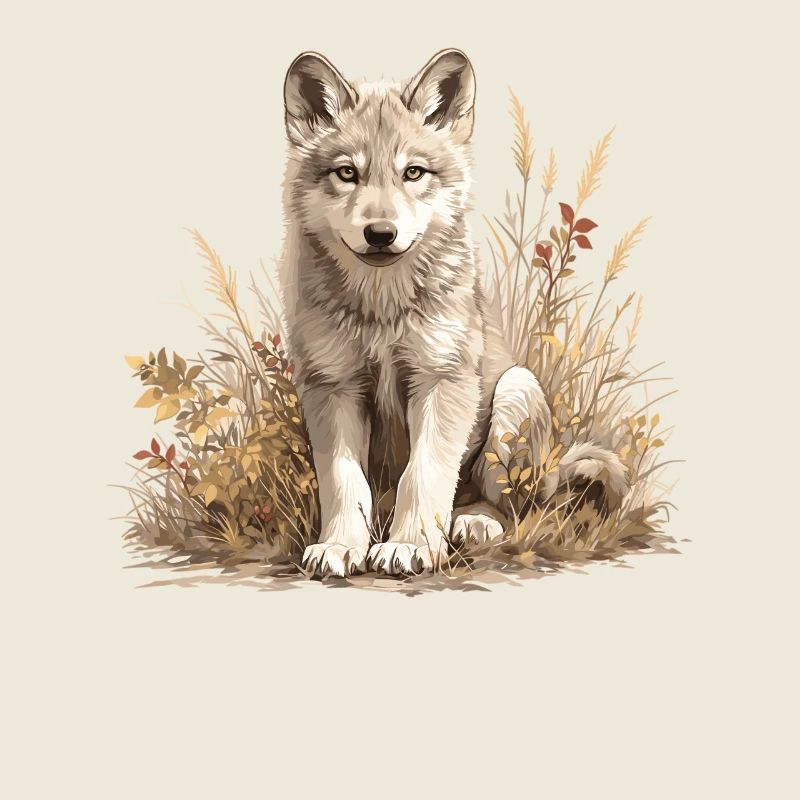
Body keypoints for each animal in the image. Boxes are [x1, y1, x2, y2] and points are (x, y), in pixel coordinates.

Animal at [279, 49, 627, 577]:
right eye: (347, 173)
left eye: (413, 173)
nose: (380, 234)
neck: (383, 309)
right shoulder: (332, 386)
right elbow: (343, 482)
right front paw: (340, 546)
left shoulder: (442, 380)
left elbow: (423, 474)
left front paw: (409, 546)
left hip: (515, 392)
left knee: (510, 507)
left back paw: (474, 522)